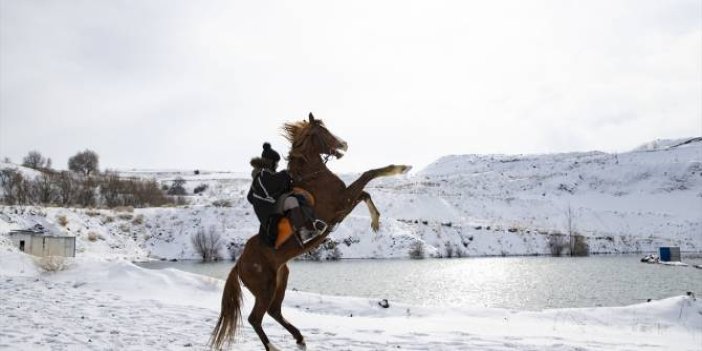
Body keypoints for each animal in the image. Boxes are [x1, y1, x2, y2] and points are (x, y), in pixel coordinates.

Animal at [210, 114, 412, 350]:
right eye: (322, 132)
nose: (344, 144)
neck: (314, 177)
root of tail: (239, 263)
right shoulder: (341, 202)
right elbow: (367, 175)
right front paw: (401, 168)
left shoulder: (343, 205)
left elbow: (364, 193)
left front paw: (376, 221)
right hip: (265, 287)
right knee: (255, 318)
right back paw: (274, 346)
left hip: (281, 279)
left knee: (274, 311)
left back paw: (300, 338)